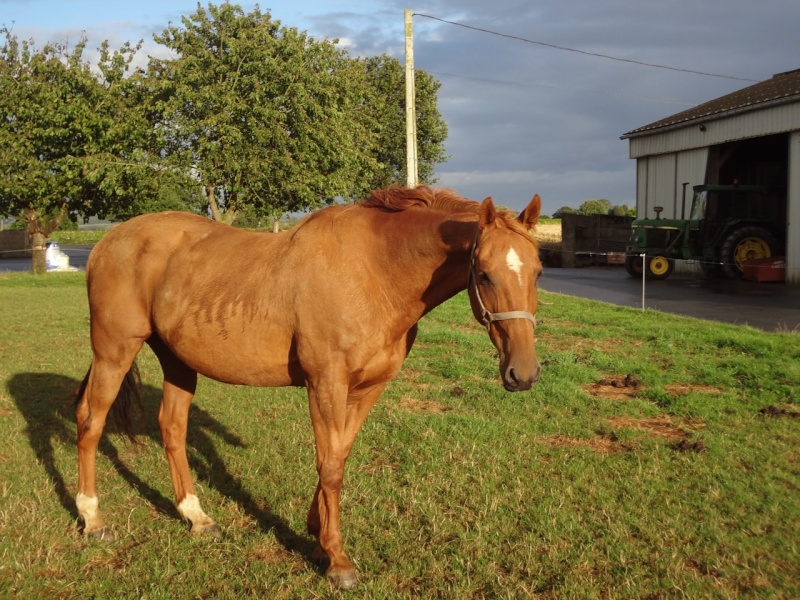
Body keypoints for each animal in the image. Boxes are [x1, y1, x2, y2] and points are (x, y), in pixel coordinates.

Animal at [76, 185, 544, 588]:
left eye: (538, 272)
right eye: (484, 274)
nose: (523, 374)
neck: (374, 270)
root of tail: (108, 241)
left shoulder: (367, 388)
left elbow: (339, 457)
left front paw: (317, 534)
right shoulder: (326, 383)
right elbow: (331, 467)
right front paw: (338, 560)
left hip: (177, 360)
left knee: (172, 428)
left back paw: (197, 517)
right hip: (114, 351)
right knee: (90, 423)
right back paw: (93, 519)